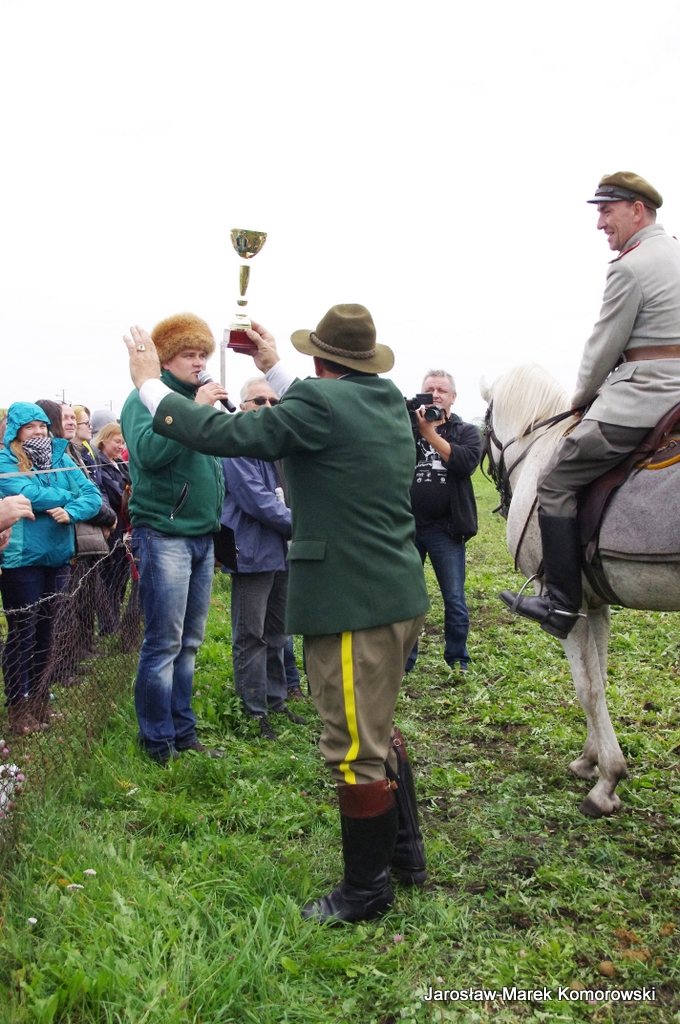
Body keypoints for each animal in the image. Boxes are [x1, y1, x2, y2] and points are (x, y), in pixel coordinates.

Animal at [481, 363, 680, 818]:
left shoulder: (565, 610)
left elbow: (586, 688)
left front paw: (607, 782)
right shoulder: (594, 604)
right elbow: (599, 680)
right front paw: (591, 761)